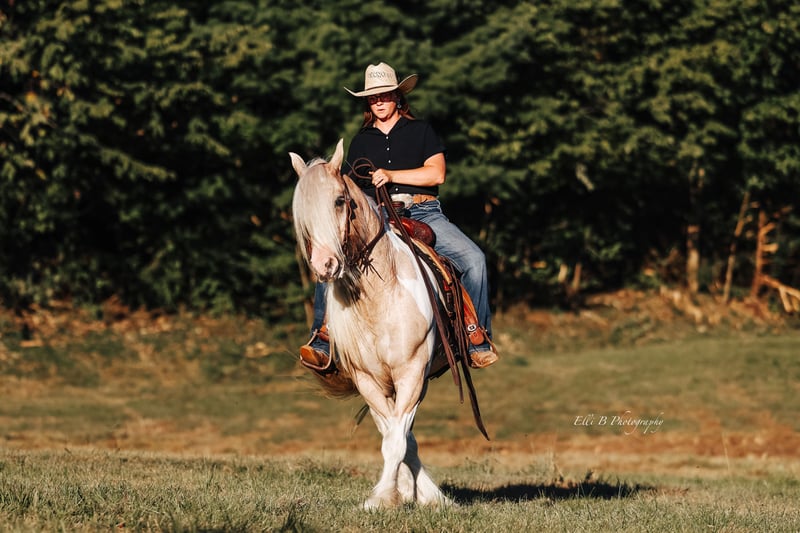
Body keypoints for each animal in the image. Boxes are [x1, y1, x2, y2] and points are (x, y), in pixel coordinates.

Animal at [290, 139, 452, 509]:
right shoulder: (367, 379)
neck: (378, 297)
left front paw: (382, 498)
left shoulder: (413, 372)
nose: (324, 265)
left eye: (340, 200)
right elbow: (392, 435)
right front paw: (395, 494)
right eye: (303, 213)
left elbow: (397, 439)